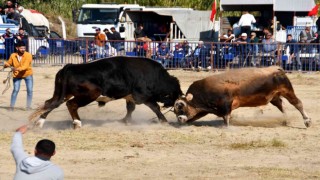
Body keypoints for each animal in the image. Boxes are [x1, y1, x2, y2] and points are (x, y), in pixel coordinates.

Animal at [30, 56, 182, 128]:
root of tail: (70, 67)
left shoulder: (129, 97)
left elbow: (130, 108)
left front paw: (125, 121)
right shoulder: (143, 96)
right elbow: (155, 107)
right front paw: (164, 121)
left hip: (63, 94)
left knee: (50, 104)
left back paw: (40, 123)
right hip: (91, 93)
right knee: (71, 105)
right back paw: (77, 123)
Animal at [174, 66, 312, 128]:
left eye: (181, 106)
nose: (179, 119)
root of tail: (277, 68)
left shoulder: (226, 104)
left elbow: (226, 117)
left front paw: (227, 127)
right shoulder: (205, 109)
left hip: (287, 91)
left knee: (297, 103)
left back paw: (307, 121)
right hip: (274, 97)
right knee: (282, 105)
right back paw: (285, 120)